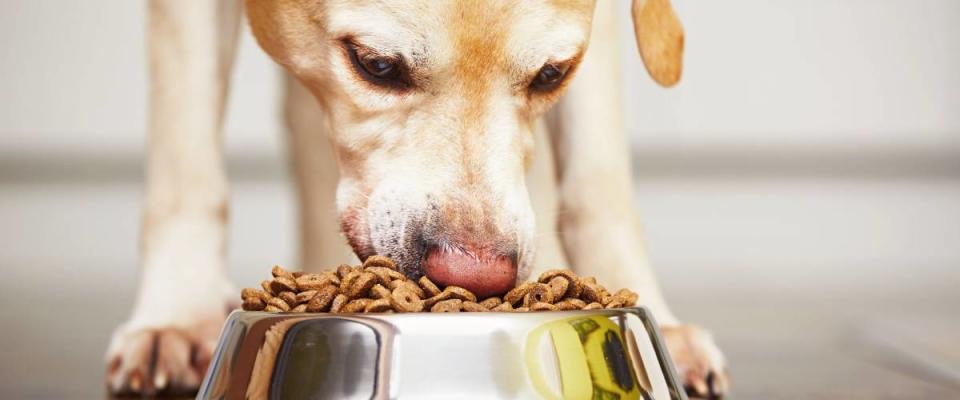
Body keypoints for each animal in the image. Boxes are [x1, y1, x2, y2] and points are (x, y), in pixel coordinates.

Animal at [107, 0, 728, 396]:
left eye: (552, 74)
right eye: (376, 64)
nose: (476, 275)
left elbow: (599, 180)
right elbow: (187, 162)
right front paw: (178, 317)